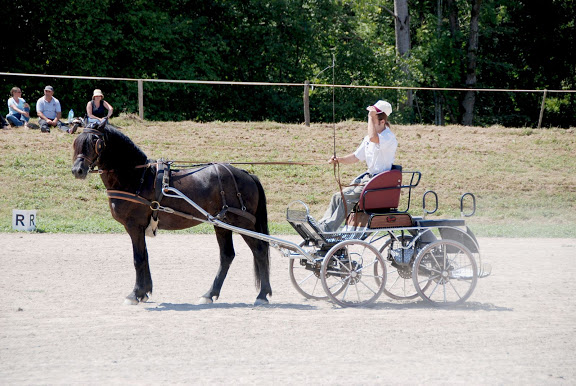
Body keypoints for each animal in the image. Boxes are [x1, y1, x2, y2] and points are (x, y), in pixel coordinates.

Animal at [70, 123, 272, 304]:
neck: (137, 177)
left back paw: (262, 295)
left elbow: (138, 259)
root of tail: (247, 174)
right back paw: (210, 294)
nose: (77, 170)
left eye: (95, 142)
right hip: (222, 224)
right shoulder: (141, 227)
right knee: (227, 256)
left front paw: (135, 294)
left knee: (260, 251)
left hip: (242, 223)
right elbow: (145, 257)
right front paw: (145, 292)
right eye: (77, 142)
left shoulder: (134, 226)